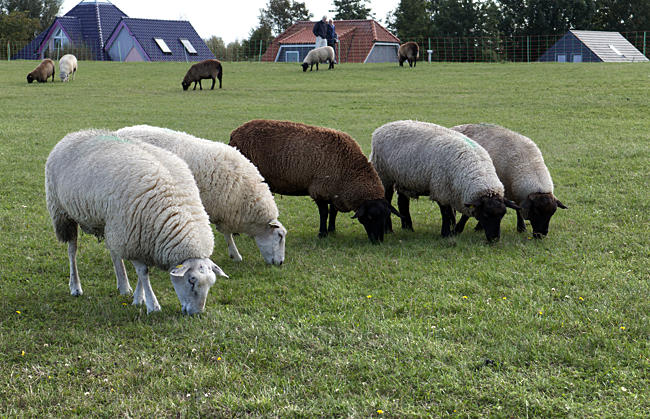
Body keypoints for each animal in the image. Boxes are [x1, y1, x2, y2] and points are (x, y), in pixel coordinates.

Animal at [45, 129, 228, 314]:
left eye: (211, 283)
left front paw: (138, 298)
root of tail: (74, 134)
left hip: (110, 223)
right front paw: (152, 305)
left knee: (113, 252)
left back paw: (123, 285)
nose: (196, 313)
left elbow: (142, 273)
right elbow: (143, 271)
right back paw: (75, 286)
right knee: (72, 251)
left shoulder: (143, 238)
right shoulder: (132, 237)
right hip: (63, 214)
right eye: (191, 280)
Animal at [229, 119, 400, 243]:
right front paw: (322, 233)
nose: (378, 241)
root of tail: (235, 133)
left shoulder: (334, 191)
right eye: (370, 217)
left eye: (385, 217)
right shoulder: (320, 190)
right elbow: (324, 213)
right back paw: (236, 233)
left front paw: (332, 230)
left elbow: (333, 212)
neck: (349, 171)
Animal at [370, 120, 520, 242]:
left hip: (405, 179)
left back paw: (408, 228)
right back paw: (388, 230)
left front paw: (453, 230)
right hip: (384, 175)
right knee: (387, 199)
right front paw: (446, 233)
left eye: (502, 215)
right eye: (486, 215)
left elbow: (454, 214)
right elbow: (446, 213)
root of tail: (381, 128)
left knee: (402, 202)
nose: (495, 239)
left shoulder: (453, 193)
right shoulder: (441, 190)